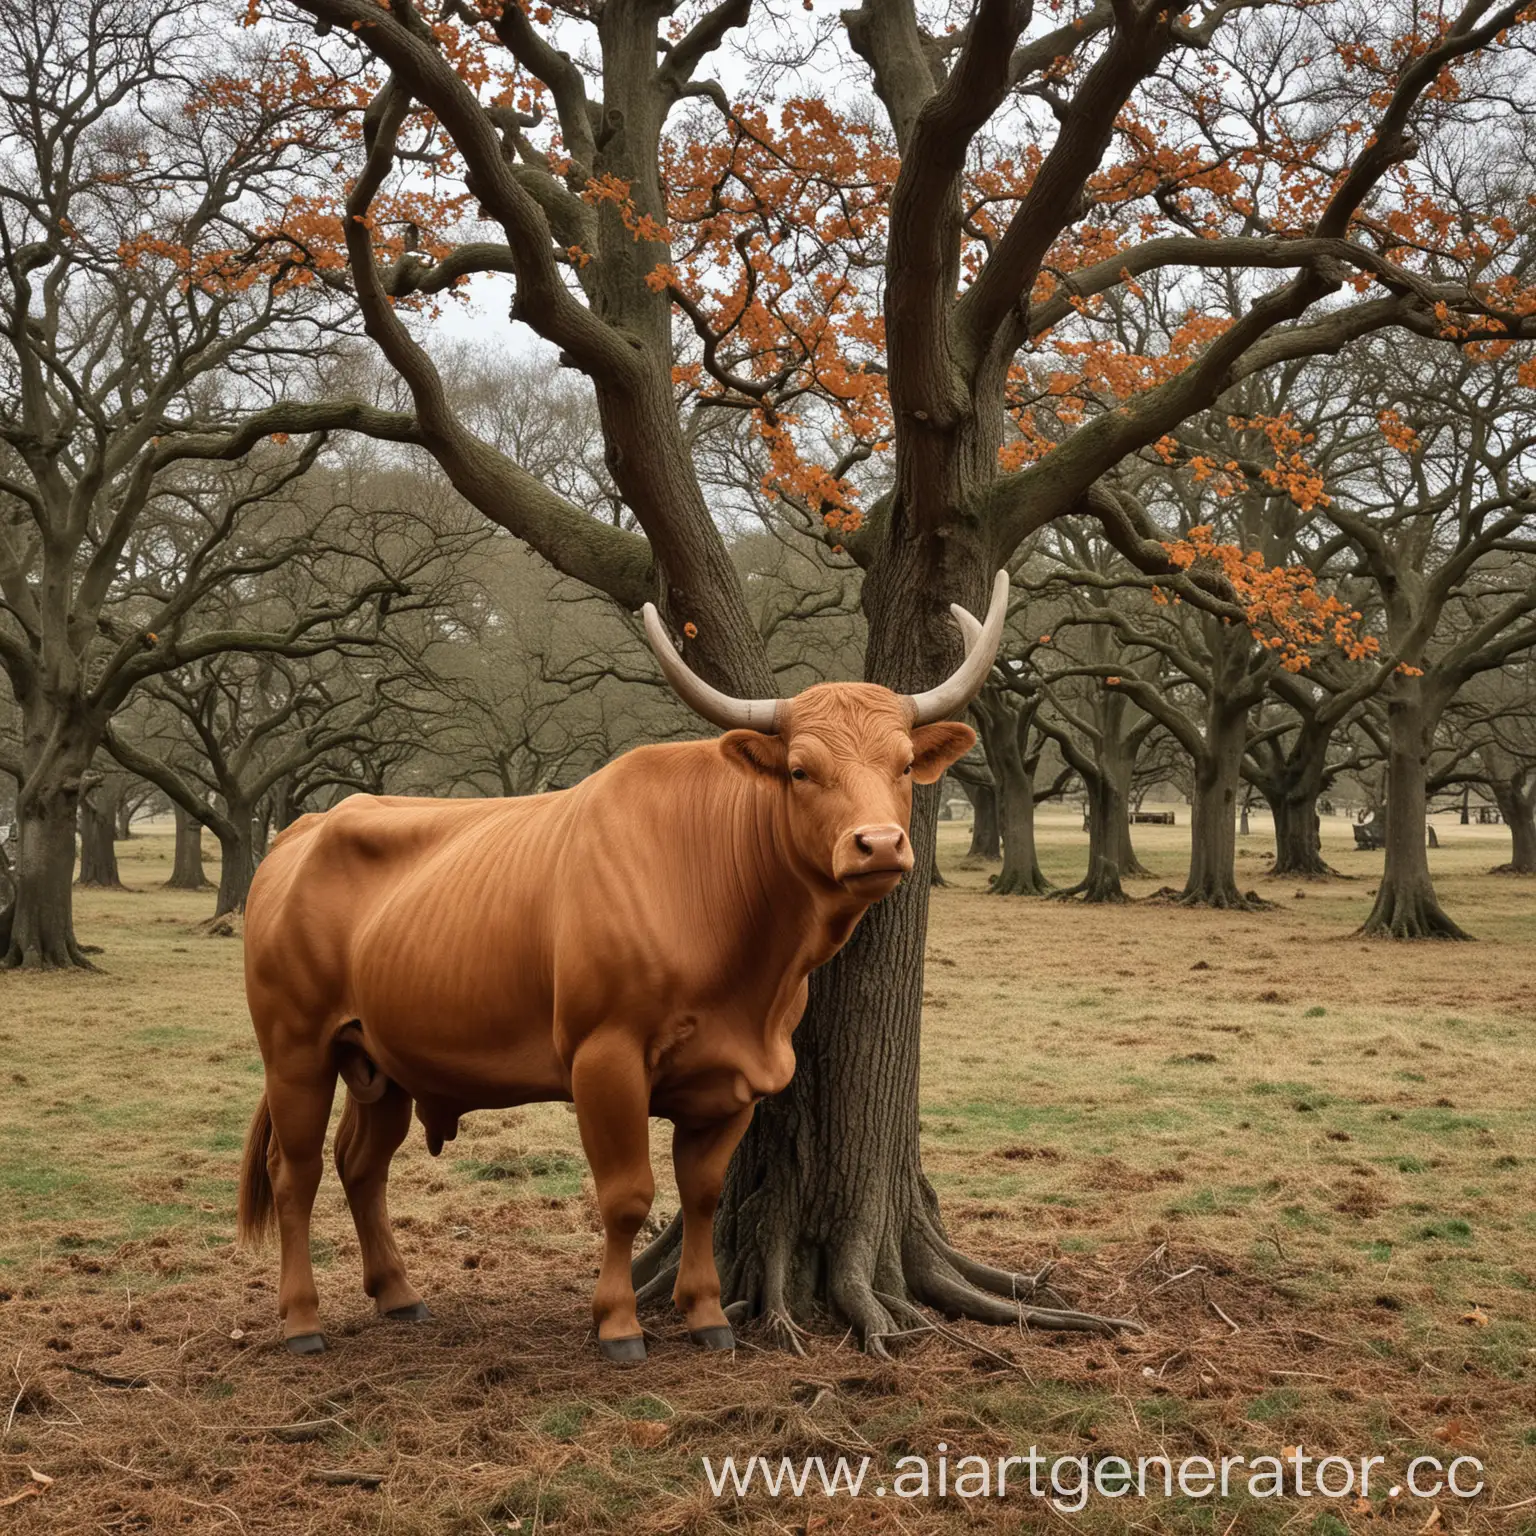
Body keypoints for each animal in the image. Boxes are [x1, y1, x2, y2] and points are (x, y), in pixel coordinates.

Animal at [239, 574, 1007, 1357]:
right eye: (801, 770)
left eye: (903, 765)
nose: (878, 844)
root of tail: (302, 830)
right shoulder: (604, 1058)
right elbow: (628, 1193)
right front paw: (617, 1323)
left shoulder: (735, 1077)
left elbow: (701, 1194)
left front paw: (705, 1314)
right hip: (296, 1048)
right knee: (296, 1173)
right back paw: (301, 1320)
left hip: (380, 1061)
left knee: (361, 1166)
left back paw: (398, 1294)